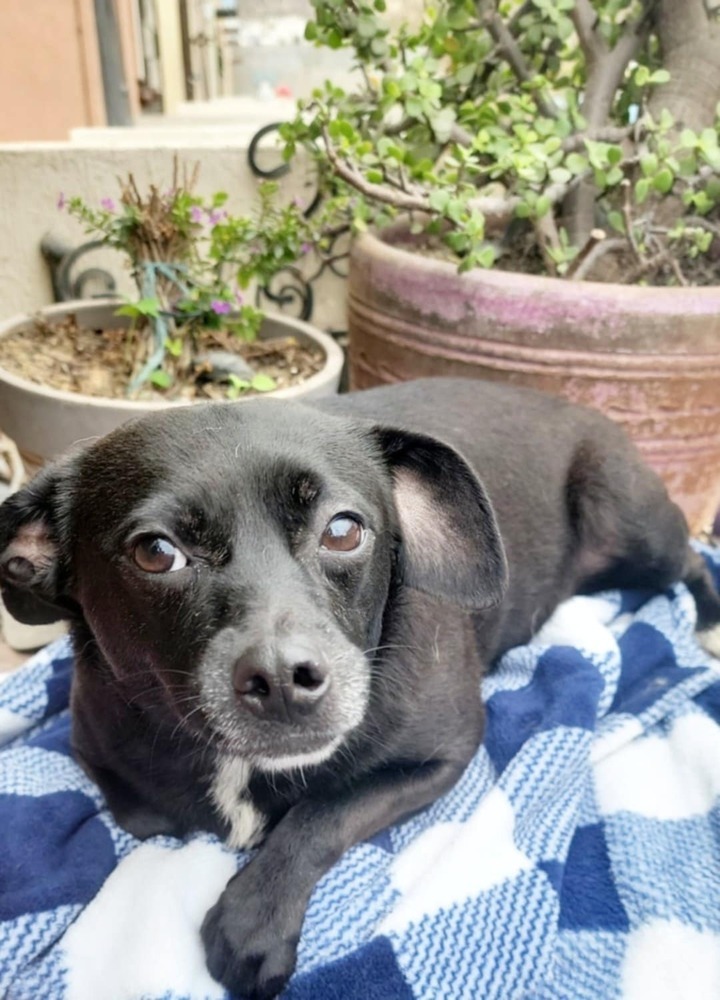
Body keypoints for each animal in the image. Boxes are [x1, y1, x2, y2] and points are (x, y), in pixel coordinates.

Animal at [1, 378, 720, 996]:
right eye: (156, 552)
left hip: (632, 526)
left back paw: (708, 624)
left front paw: (253, 917)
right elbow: (149, 814)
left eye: (344, 530)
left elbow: (323, 812)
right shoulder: (100, 752)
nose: (284, 679)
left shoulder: (443, 755)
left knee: (690, 560)